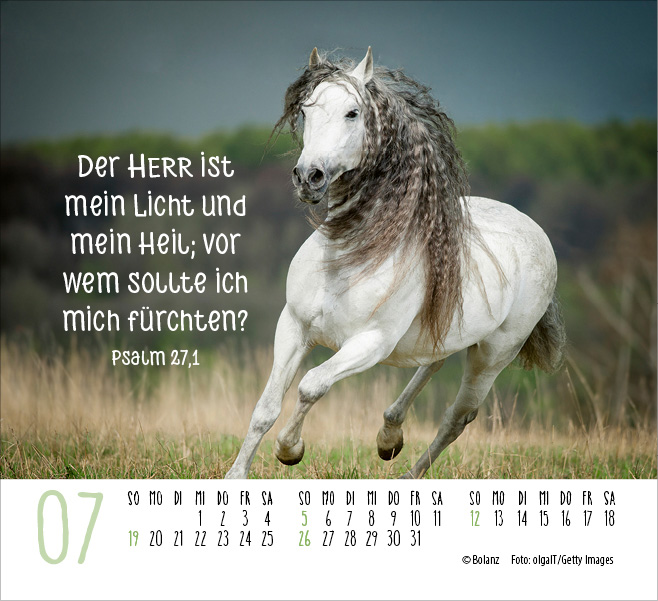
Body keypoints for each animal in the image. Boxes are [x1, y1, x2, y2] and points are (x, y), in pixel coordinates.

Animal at [225, 47, 566, 479]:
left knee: (457, 417)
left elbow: (312, 385)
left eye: (353, 112)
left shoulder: (370, 343)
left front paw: (290, 449)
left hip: (492, 356)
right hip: (451, 334)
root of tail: (535, 231)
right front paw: (236, 476)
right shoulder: (293, 327)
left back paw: (407, 473)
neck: (351, 257)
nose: (308, 176)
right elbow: (265, 408)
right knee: (432, 365)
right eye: (305, 110)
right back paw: (389, 436)